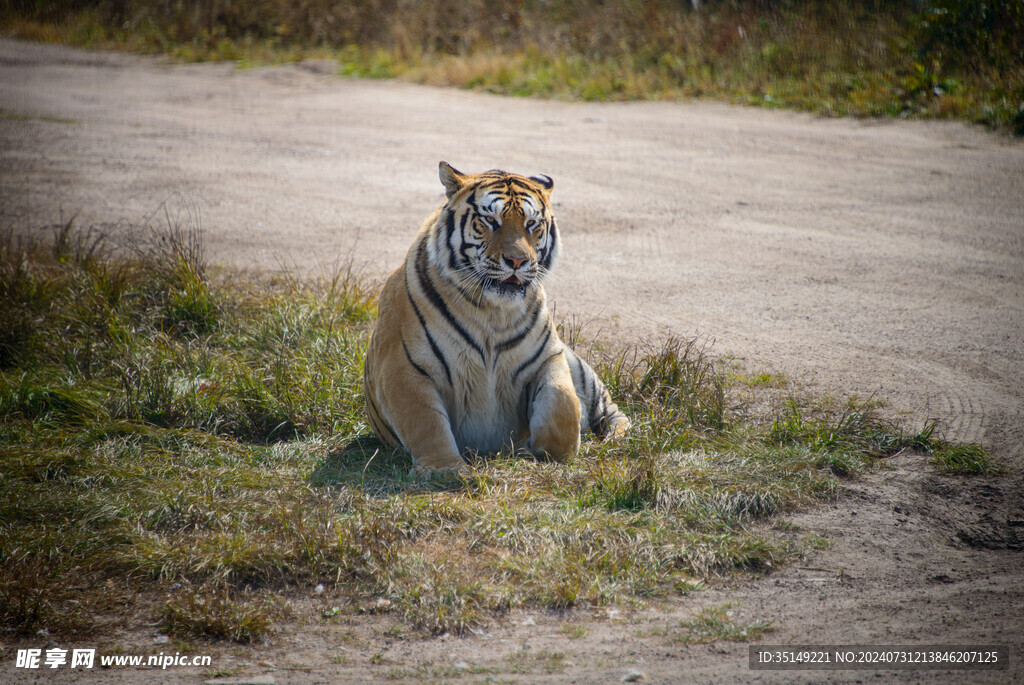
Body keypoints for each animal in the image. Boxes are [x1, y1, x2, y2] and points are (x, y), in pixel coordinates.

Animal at [364, 160, 626, 473]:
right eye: (490, 221)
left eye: (532, 225)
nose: (517, 261)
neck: (492, 313)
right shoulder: (403, 367)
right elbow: (425, 423)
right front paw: (444, 468)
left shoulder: (549, 356)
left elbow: (562, 405)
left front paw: (539, 450)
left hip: (583, 371)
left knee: (613, 410)